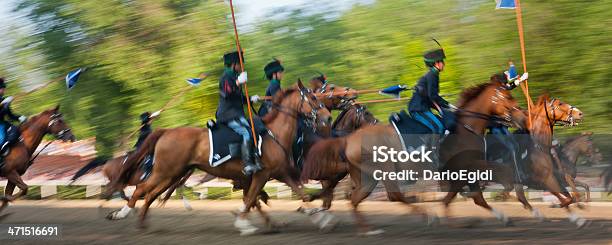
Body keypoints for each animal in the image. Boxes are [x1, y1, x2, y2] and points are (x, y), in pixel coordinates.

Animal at [104, 81, 334, 235]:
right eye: (314, 98)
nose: (328, 117)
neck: (272, 133)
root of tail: (166, 131)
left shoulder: (280, 173)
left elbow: (301, 194)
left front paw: (322, 220)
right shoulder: (261, 175)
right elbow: (251, 199)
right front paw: (243, 224)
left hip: (173, 174)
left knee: (150, 194)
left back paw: (141, 221)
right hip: (165, 171)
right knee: (142, 190)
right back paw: (122, 214)